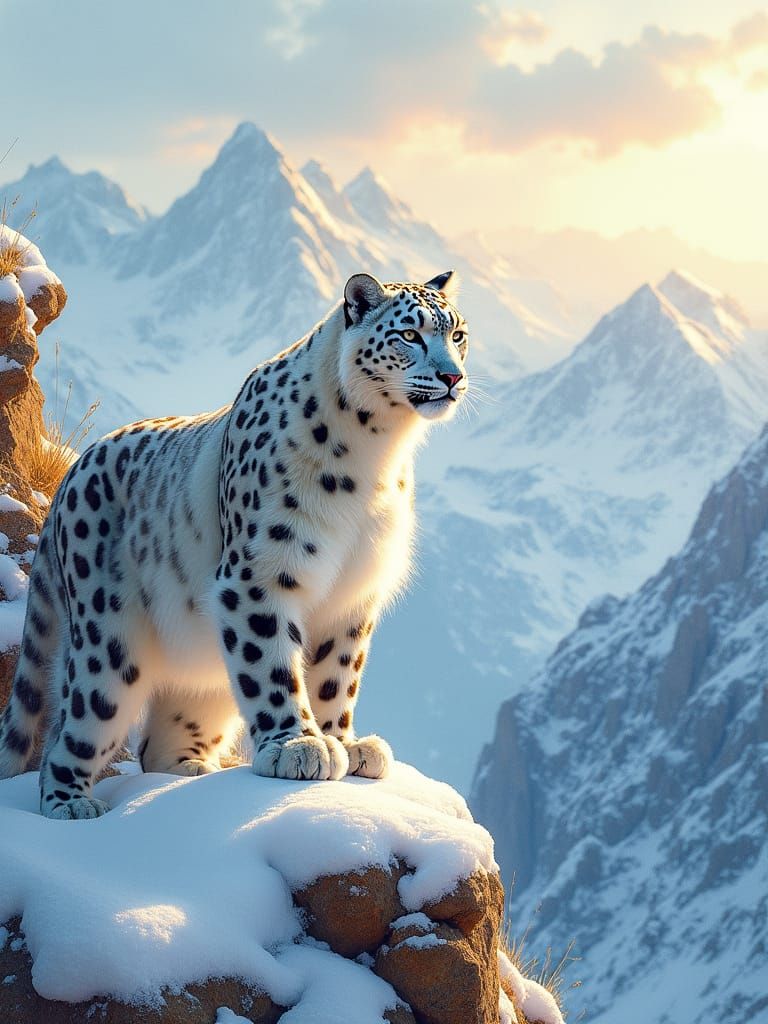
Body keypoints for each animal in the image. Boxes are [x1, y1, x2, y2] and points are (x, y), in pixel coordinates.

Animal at [0, 271, 469, 818]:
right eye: (409, 335)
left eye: (458, 335)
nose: (453, 377)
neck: (378, 452)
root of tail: (67, 482)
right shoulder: (260, 574)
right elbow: (271, 666)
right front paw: (298, 746)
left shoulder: (354, 592)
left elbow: (336, 674)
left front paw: (345, 744)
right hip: (105, 643)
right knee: (70, 730)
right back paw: (72, 803)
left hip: (199, 669)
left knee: (159, 738)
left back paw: (190, 773)